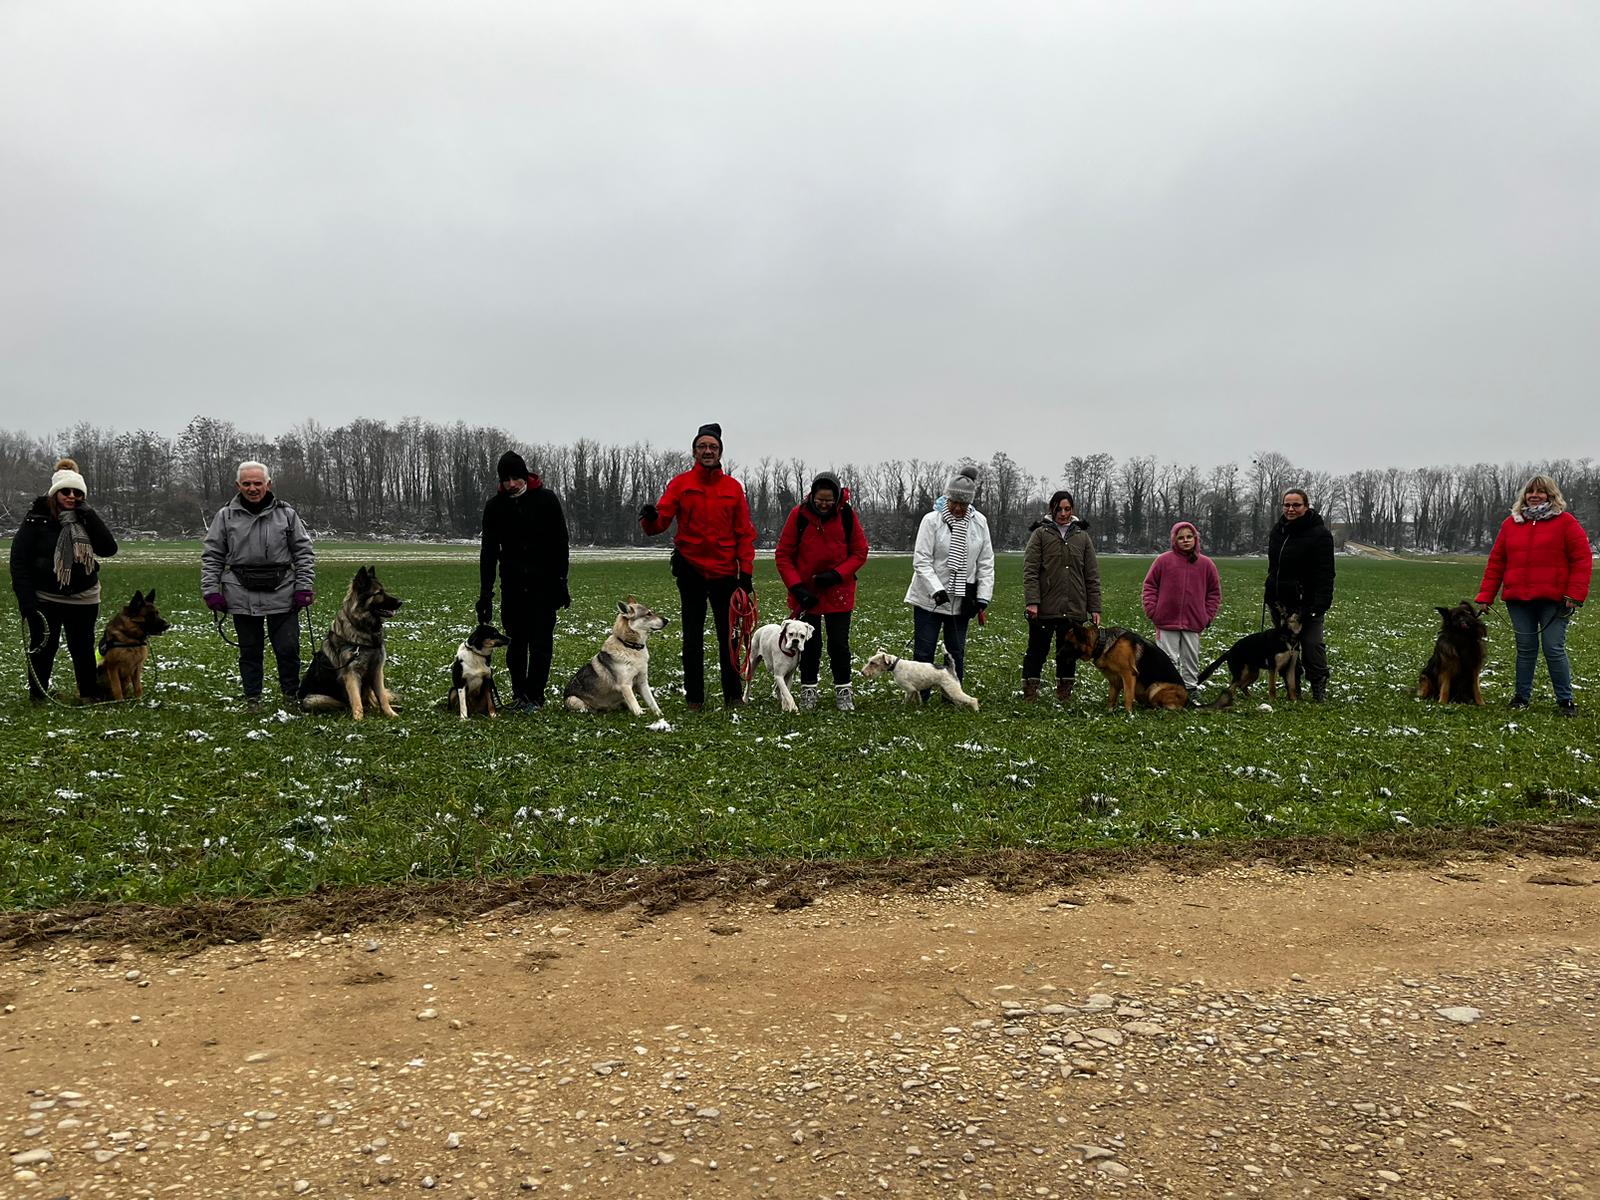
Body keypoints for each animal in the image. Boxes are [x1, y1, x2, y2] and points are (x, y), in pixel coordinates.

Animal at [299, 566, 406, 720]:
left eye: (384, 590)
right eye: (378, 593)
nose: (400, 602)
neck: (364, 630)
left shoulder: (377, 671)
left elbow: (382, 697)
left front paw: (391, 714)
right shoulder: (351, 674)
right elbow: (356, 700)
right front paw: (359, 720)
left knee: (372, 701)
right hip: (311, 699)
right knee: (347, 704)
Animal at [1062, 620, 1190, 713]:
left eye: (1069, 643)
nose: (1058, 655)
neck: (1101, 643)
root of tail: (1187, 701)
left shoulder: (1128, 675)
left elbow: (1127, 696)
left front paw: (1128, 714)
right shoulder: (1114, 680)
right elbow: (1111, 698)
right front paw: (1109, 711)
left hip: (1155, 688)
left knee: (1167, 708)